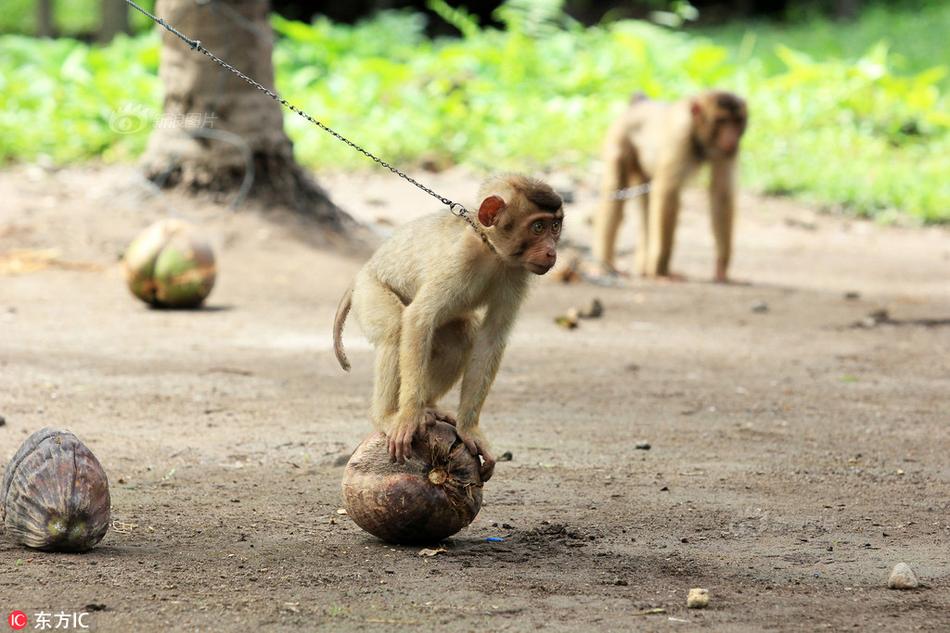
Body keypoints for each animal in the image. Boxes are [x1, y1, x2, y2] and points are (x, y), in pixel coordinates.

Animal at [332, 175, 564, 482]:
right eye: (538, 227)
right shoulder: (459, 260)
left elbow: (491, 337)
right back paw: (388, 416)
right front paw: (408, 416)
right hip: (369, 291)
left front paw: (469, 429)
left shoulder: (516, 272)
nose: (552, 251)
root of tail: (361, 273)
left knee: (461, 337)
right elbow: (419, 318)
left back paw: (429, 408)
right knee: (396, 330)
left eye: (555, 226)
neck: (489, 248)